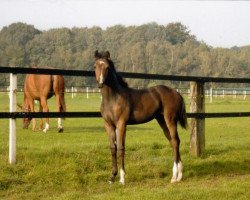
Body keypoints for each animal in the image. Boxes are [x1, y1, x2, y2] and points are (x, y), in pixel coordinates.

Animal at [94, 50, 188, 184]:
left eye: (107, 67)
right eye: (95, 66)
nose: (101, 83)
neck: (113, 98)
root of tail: (177, 93)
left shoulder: (121, 124)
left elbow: (121, 148)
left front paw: (122, 179)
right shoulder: (108, 125)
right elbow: (113, 148)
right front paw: (112, 177)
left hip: (170, 119)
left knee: (175, 141)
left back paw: (174, 177)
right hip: (162, 121)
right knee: (173, 141)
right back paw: (179, 175)